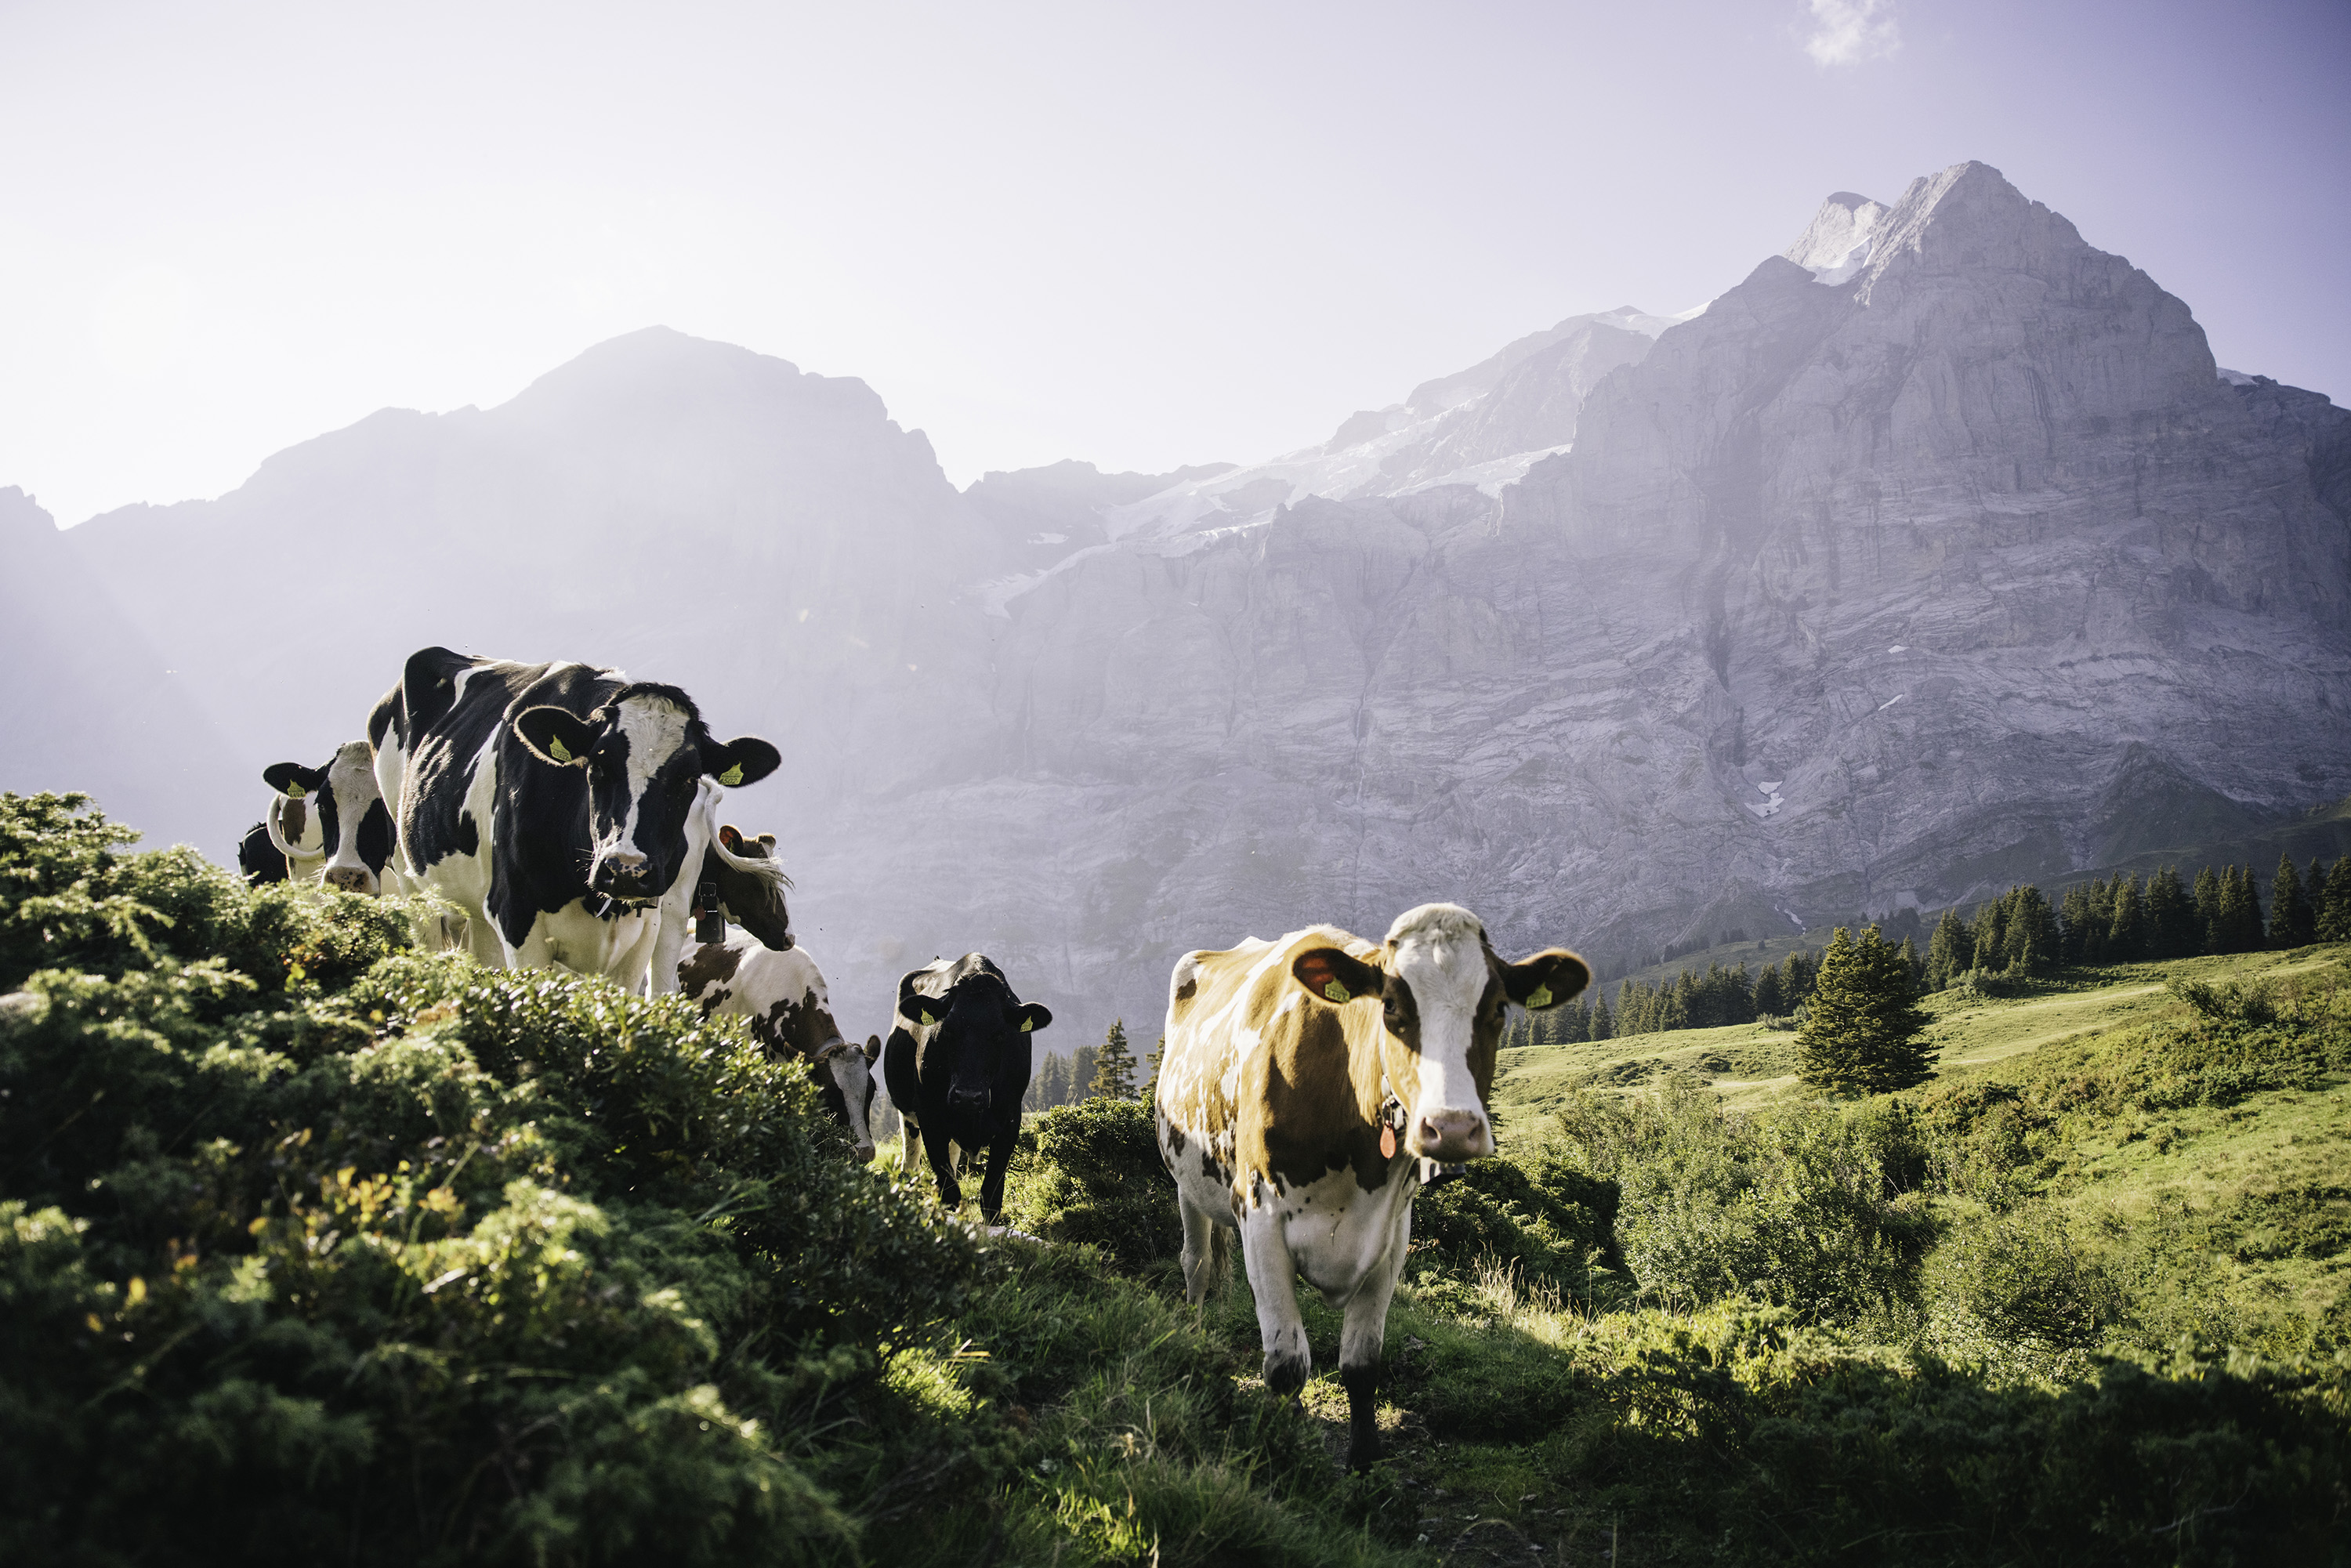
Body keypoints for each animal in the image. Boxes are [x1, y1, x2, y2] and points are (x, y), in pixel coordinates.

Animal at [371, 644, 781, 973]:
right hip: (412, 881)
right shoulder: (518, 920)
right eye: (597, 765)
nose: (626, 870)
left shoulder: (644, 932)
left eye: (688, 778)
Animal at [884, 959, 1058, 1222]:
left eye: (1000, 1034)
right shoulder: (929, 1117)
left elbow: (991, 1196)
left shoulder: (1011, 1120)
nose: (967, 1097)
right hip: (909, 1116)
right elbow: (950, 1192)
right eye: (947, 1030)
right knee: (911, 1161)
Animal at [1152, 907, 1589, 1476]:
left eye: (1497, 1008)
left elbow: (1361, 1365)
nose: (1451, 1127)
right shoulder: (1261, 1216)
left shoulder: (1391, 1234)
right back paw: (1196, 1328)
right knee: (1198, 1264)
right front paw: (1287, 1446)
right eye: (1391, 1006)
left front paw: (1363, 1463)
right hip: (1186, 1181)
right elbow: (1287, 1365)